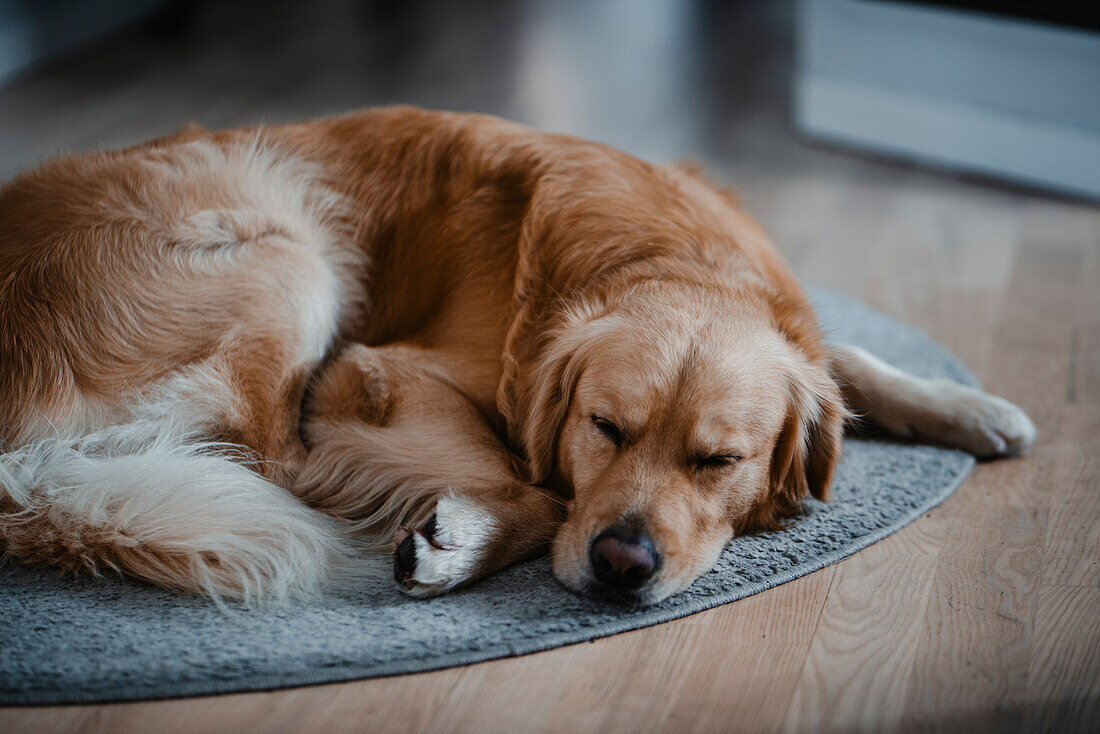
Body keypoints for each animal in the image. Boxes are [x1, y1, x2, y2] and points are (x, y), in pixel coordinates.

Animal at [0, 106, 1029, 607]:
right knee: (278, 460)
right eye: (603, 428)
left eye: (718, 461)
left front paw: (970, 408)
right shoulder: (380, 368)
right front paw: (461, 539)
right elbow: (537, 486)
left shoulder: (797, 338)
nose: (623, 563)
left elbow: (845, 359)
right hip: (285, 251)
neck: (673, 256)